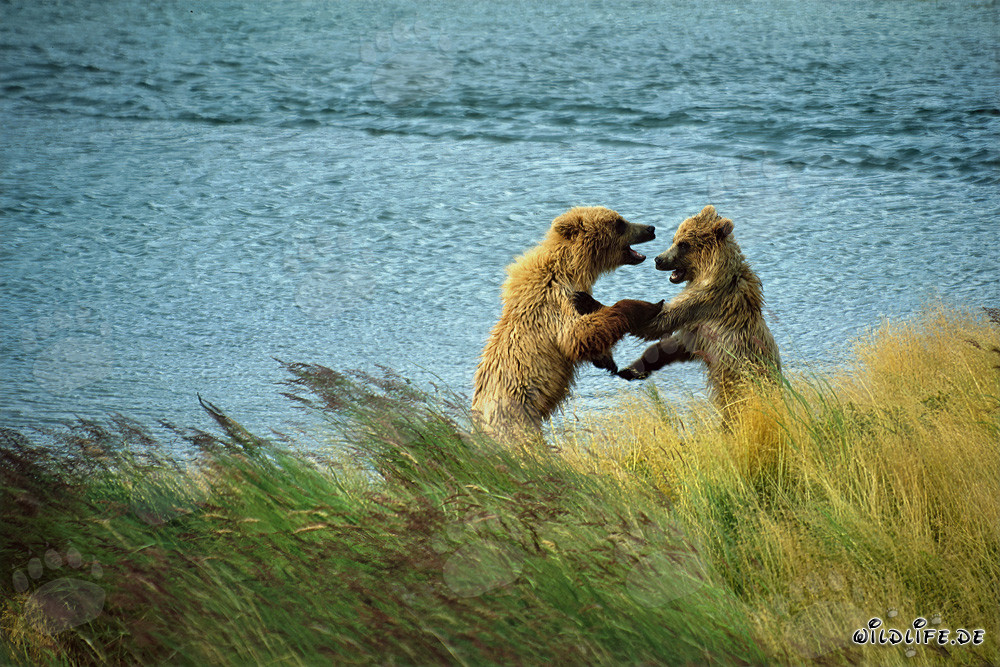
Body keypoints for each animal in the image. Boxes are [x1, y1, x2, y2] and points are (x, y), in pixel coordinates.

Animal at [472, 206, 662, 442]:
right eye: (619, 223)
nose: (650, 228)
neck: (571, 269)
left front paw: (607, 360)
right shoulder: (553, 299)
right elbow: (575, 336)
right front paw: (647, 305)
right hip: (515, 417)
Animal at [574, 205, 781, 419]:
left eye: (683, 244)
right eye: (674, 239)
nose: (658, 259)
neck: (709, 273)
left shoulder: (704, 302)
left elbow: (658, 322)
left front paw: (586, 300)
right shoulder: (698, 330)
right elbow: (672, 346)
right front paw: (633, 369)